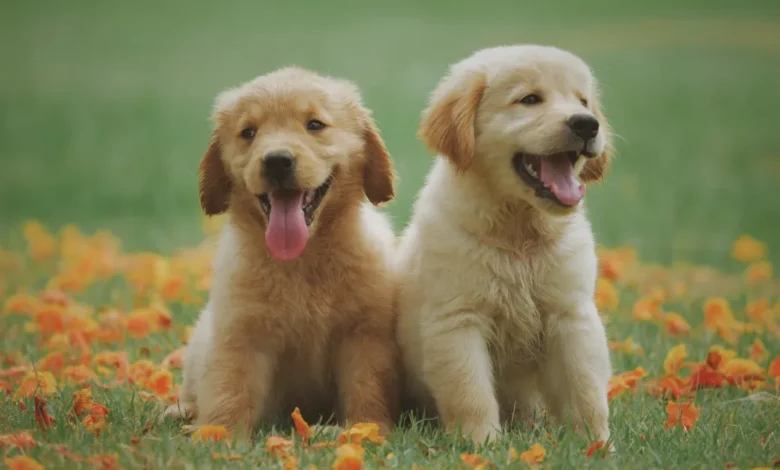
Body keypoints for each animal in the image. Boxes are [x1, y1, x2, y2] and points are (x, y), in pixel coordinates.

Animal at [163, 66, 396, 436]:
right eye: (248, 132)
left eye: (314, 124)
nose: (276, 161)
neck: (301, 260)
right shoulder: (240, 333)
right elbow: (229, 388)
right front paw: (216, 434)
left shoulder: (364, 334)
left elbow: (367, 386)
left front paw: (365, 428)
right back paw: (180, 411)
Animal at [400, 45, 612, 444]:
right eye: (529, 100)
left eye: (583, 101)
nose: (587, 124)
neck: (519, 233)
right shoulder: (458, 320)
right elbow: (470, 392)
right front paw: (480, 444)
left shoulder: (571, 315)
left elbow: (586, 388)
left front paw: (596, 444)